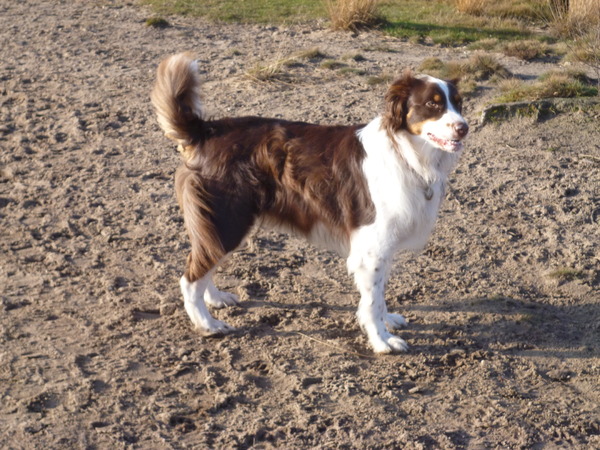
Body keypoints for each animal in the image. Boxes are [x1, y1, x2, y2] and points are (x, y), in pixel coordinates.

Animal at [151, 52, 468, 354]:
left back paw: (216, 299)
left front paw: (387, 321)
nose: (464, 128)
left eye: (459, 104)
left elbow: (378, 294)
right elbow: (371, 303)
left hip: (223, 224)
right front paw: (381, 340)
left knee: (204, 263)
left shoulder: (381, 246)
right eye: (433, 105)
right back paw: (208, 324)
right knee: (190, 277)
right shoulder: (370, 247)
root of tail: (206, 131)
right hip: (228, 220)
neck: (406, 153)